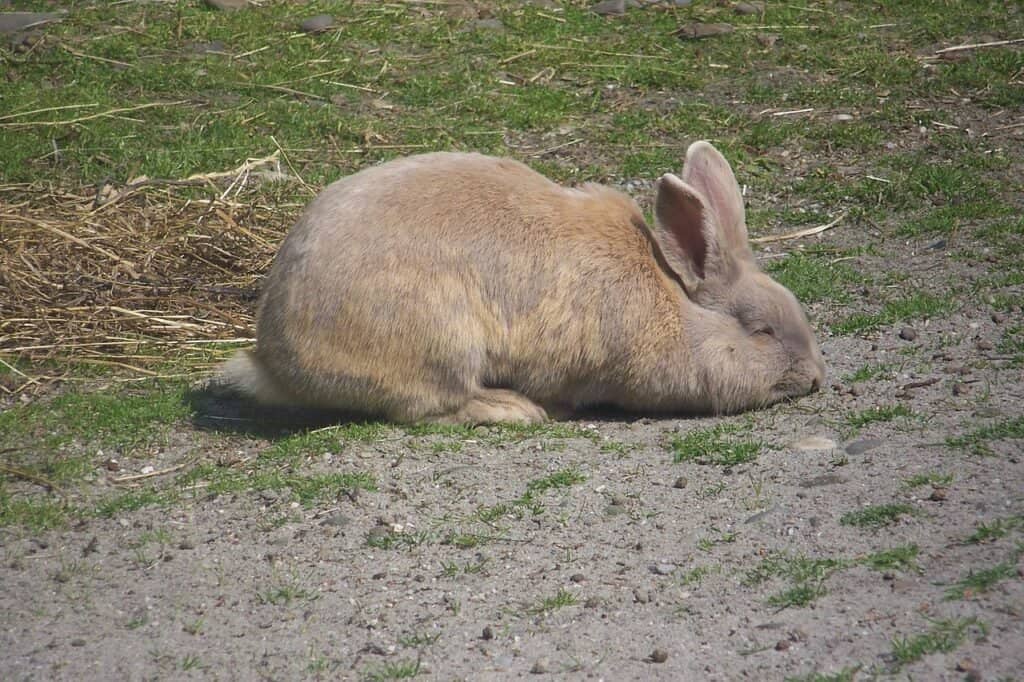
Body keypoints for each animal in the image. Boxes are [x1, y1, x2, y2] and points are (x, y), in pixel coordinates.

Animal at [216, 140, 823, 421]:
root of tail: (274, 361)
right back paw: (515, 409)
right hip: (440, 344)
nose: (817, 377)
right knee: (429, 405)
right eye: (762, 332)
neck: (676, 305)